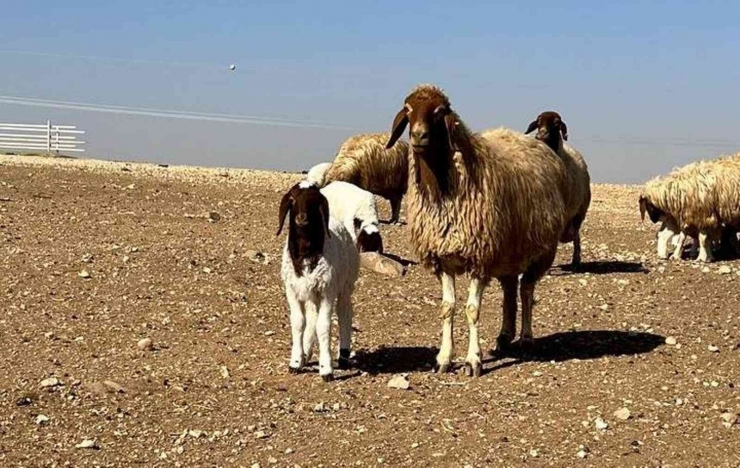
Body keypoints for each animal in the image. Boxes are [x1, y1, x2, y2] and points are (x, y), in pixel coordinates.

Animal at [276, 179, 360, 380]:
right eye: (292, 200)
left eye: (314, 201)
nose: (301, 218)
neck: (306, 252)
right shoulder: (292, 290)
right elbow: (299, 322)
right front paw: (296, 361)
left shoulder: (327, 291)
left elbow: (324, 326)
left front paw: (326, 368)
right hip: (312, 292)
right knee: (312, 318)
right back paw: (306, 354)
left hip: (346, 284)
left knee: (345, 313)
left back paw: (343, 355)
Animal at [384, 83, 568, 376]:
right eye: (409, 110)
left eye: (439, 111)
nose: (418, 136)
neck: (443, 193)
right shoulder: (443, 260)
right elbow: (447, 308)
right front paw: (444, 358)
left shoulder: (479, 259)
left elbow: (472, 310)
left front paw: (473, 360)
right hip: (507, 252)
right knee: (510, 291)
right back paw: (504, 337)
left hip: (540, 252)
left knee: (526, 291)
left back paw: (526, 337)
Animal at [524, 108, 592, 266]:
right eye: (538, 123)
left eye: (556, 123)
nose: (540, 136)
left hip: (579, 212)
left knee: (576, 235)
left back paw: (576, 259)